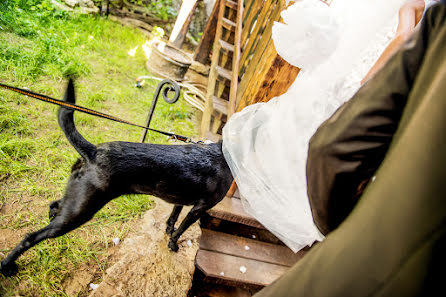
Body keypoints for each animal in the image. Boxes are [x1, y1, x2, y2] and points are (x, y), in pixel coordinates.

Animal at [0, 79, 235, 276]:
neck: (223, 155)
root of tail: (93, 151)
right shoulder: (199, 209)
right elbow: (180, 229)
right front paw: (173, 245)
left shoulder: (182, 200)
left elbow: (173, 219)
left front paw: (168, 231)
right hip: (80, 211)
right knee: (30, 237)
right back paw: (7, 266)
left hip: (77, 200)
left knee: (55, 204)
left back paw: (50, 215)